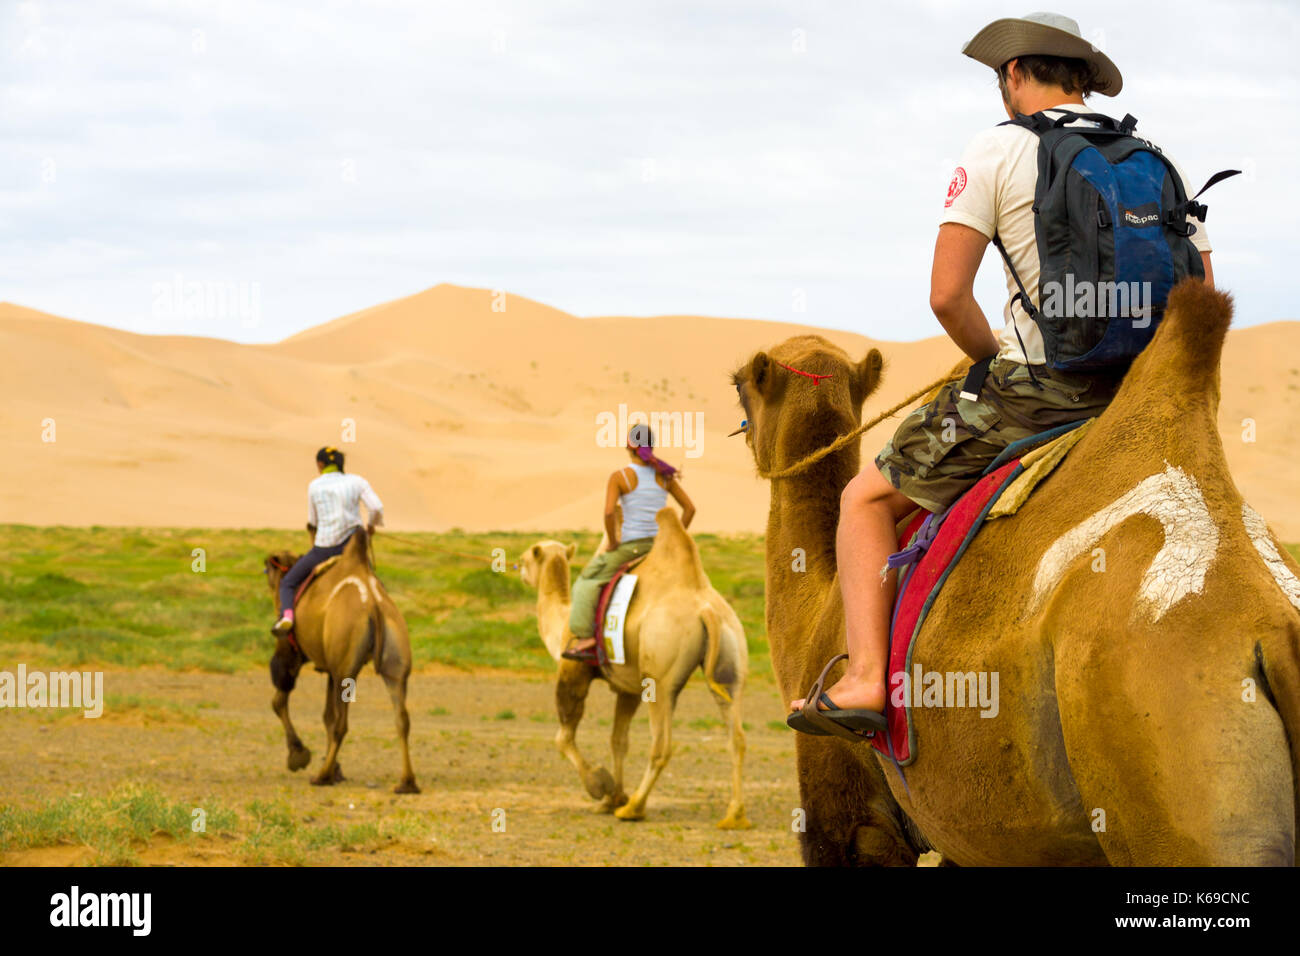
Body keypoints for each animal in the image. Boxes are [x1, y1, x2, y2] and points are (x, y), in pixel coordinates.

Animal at [257, 528, 410, 796]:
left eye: (268, 570)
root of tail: (373, 604)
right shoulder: (329, 666)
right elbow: (326, 716)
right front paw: (336, 768)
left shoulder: (290, 652)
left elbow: (279, 700)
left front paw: (299, 755)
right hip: (395, 658)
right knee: (401, 717)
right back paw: (406, 783)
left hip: (345, 670)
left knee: (341, 723)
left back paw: (322, 776)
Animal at [512, 509, 748, 832]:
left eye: (525, 559)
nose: (515, 566)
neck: (561, 621)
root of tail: (707, 611)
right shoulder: (628, 690)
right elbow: (618, 741)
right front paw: (613, 797)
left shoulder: (573, 671)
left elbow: (564, 737)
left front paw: (600, 785)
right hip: (730, 663)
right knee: (736, 737)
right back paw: (734, 815)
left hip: (660, 680)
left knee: (662, 745)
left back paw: (634, 807)